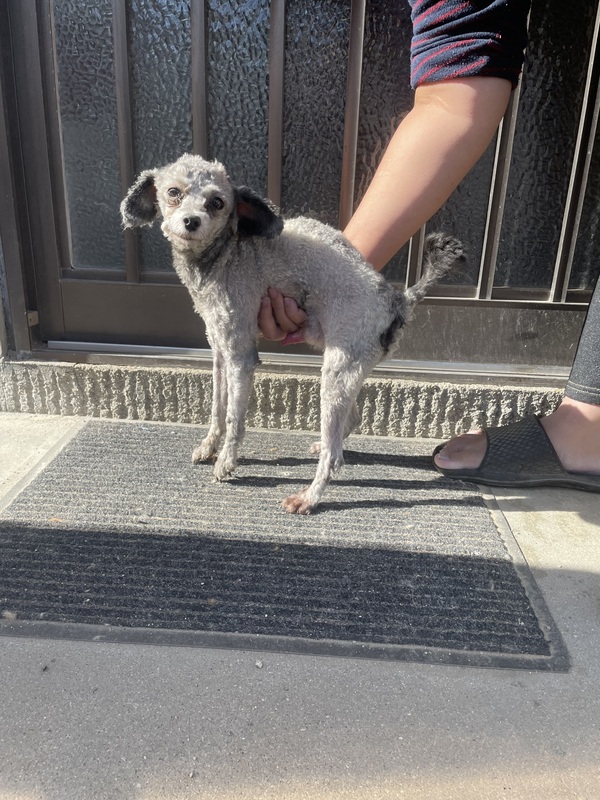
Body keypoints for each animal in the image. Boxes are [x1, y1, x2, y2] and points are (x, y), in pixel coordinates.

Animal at [121, 153, 464, 514]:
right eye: (173, 192)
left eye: (217, 202)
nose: (191, 221)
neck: (225, 255)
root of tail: (398, 301)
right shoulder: (218, 347)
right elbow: (217, 407)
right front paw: (209, 446)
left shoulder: (241, 354)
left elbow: (234, 417)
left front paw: (227, 461)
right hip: (348, 370)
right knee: (350, 421)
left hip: (337, 371)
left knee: (334, 455)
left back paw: (309, 496)